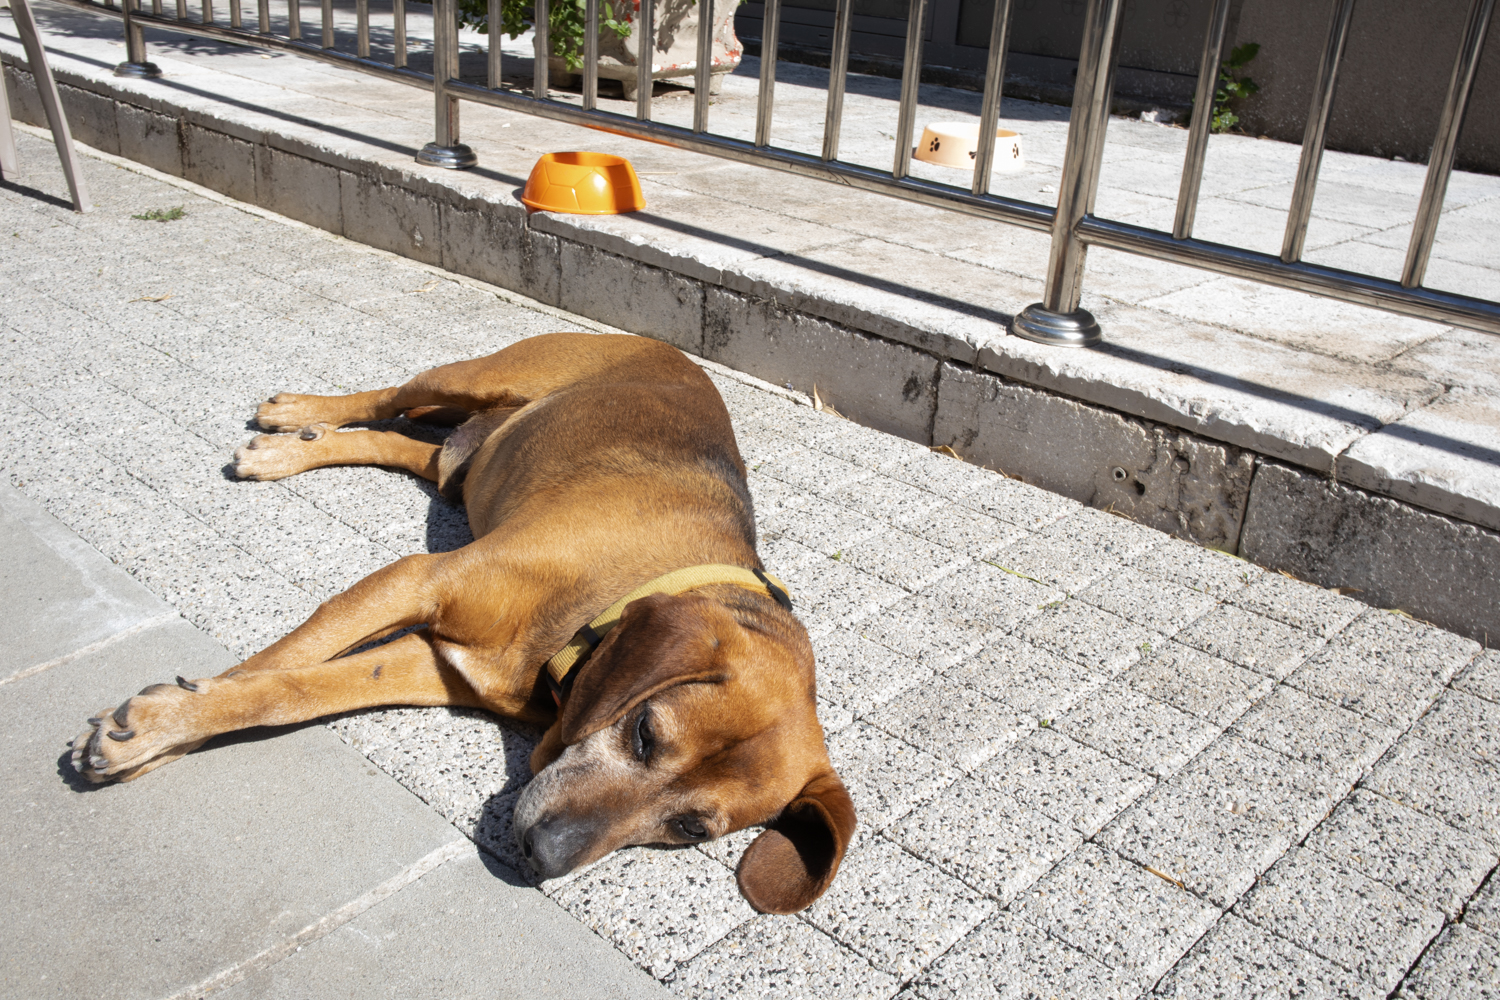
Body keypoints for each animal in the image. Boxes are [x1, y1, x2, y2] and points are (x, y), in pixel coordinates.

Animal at [70, 332, 856, 914]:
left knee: (403, 446)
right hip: (475, 376)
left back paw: (300, 446)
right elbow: (274, 664)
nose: (546, 857)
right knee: (388, 397)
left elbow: (291, 691)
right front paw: (161, 724)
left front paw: (168, 725)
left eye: (690, 829)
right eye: (644, 733)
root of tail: (670, 349)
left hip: (463, 460)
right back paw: (293, 415)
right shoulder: (419, 579)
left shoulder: (436, 662)